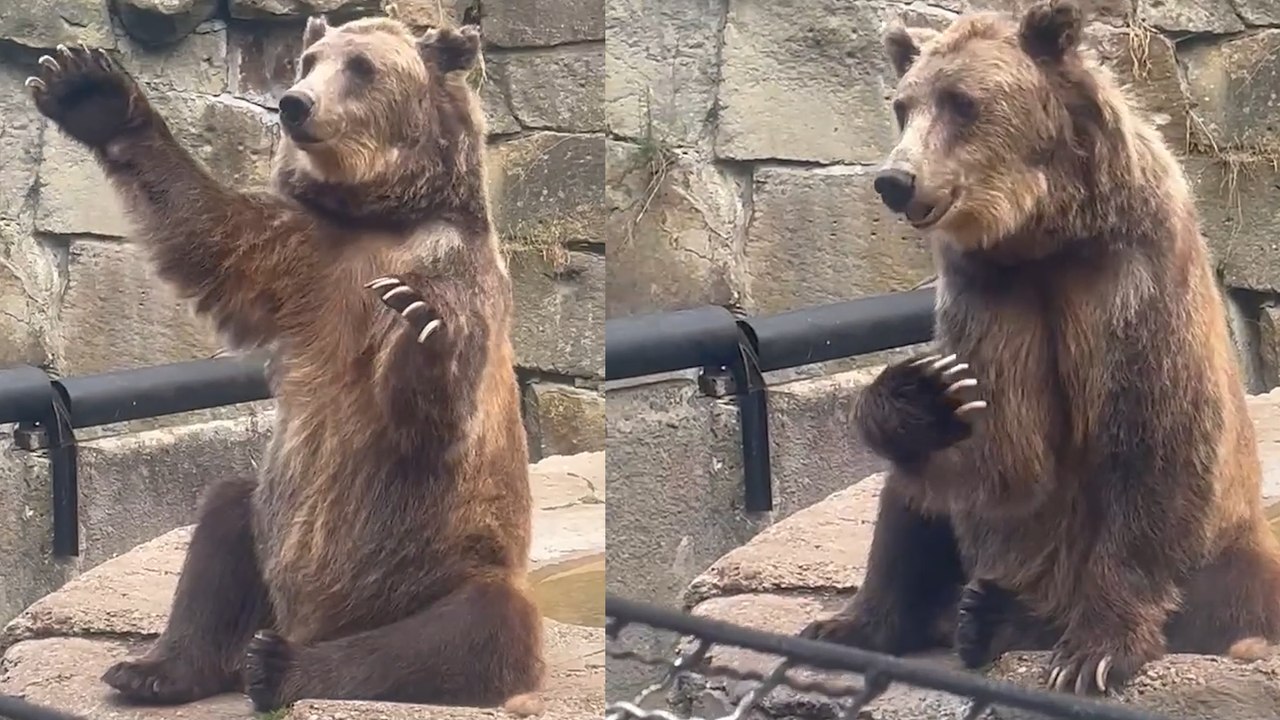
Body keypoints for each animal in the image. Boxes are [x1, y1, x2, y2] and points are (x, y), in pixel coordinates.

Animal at [25, 15, 544, 713]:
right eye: (310, 59)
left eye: (361, 67)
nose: (294, 104)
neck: (380, 216)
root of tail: (311, 619)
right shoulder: (304, 256)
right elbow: (211, 235)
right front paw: (87, 88)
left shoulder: (456, 271)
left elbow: (434, 415)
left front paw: (421, 325)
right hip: (271, 524)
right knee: (225, 518)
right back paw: (156, 668)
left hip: (439, 560)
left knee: (468, 631)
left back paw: (280, 667)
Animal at [801, 0, 1280, 697]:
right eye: (902, 105)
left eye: (962, 102)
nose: (895, 179)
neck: (1040, 232)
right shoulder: (990, 296)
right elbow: (994, 447)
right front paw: (925, 390)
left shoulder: (1132, 283)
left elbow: (1149, 441)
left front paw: (1093, 652)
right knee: (909, 500)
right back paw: (869, 623)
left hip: (1228, 549)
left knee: (1229, 594)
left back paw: (996, 619)